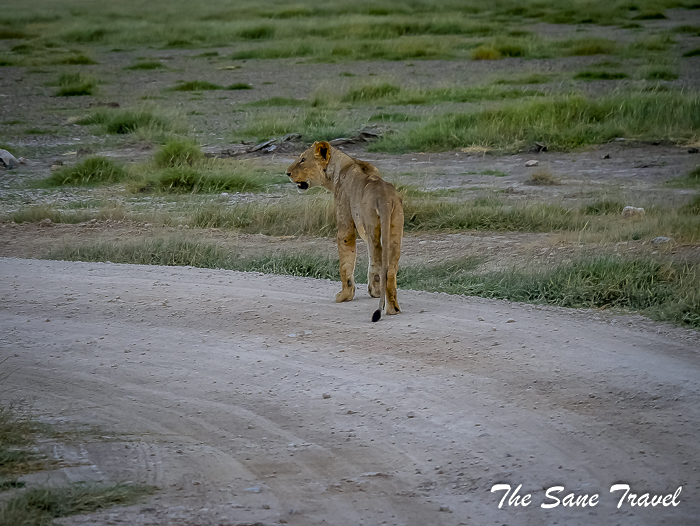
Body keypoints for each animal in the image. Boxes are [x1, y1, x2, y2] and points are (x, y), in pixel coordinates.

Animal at [286, 141, 404, 322]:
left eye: (303, 159)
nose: (287, 173)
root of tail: (385, 197)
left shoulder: (345, 224)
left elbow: (345, 263)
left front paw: (345, 295)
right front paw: (375, 293)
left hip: (372, 225)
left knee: (378, 262)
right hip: (394, 230)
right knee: (389, 269)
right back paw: (393, 309)